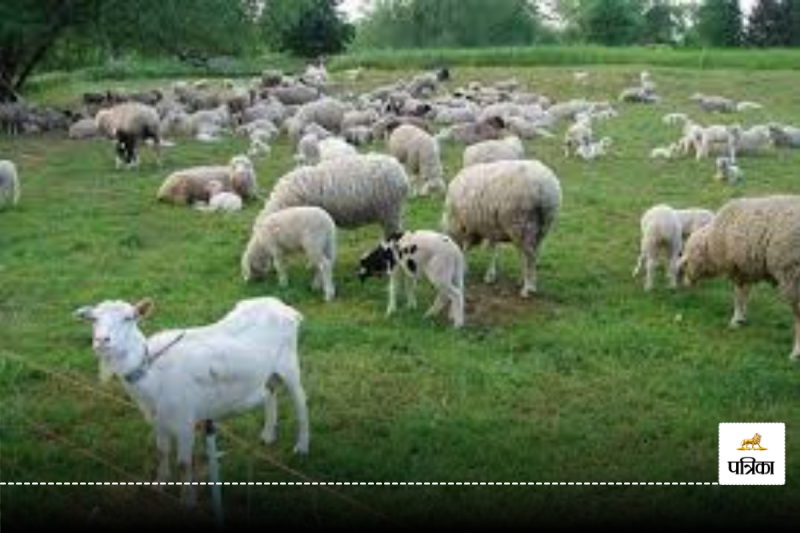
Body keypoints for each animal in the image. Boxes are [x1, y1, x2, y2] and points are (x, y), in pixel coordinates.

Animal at [74, 297, 309, 505]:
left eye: (129, 318)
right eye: (93, 319)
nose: (102, 341)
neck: (154, 373)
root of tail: (285, 307)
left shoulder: (184, 421)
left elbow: (184, 464)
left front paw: (187, 500)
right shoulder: (158, 420)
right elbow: (162, 452)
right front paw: (160, 485)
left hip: (290, 365)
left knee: (301, 404)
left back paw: (302, 447)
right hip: (266, 373)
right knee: (271, 392)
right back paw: (268, 435)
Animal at [443, 159, 562, 298]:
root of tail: (544, 188)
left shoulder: (467, 226)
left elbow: (469, 248)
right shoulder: (489, 227)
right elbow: (493, 249)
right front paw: (490, 275)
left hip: (521, 223)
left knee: (529, 256)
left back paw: (527, 288)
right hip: (541, 227)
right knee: (532, 254)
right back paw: (527, 282)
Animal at [678, 195, 800, 360]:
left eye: (687, 264)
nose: (686, 285)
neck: (711, 243)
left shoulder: (737, 267)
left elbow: (738, 294)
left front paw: (736, 319)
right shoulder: (747, 267)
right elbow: (746, 292)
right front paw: (743, 316)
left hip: (793, 275)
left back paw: (795, 352)